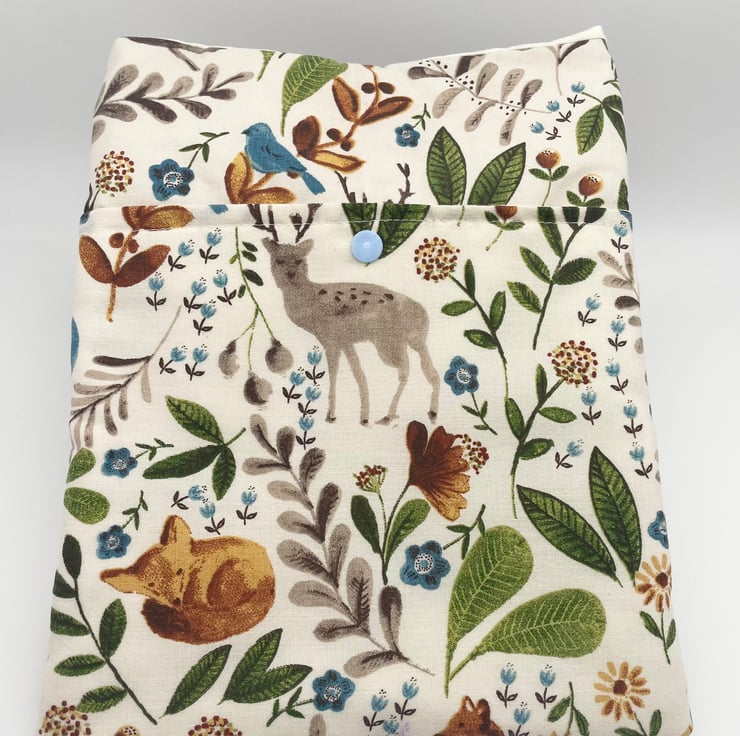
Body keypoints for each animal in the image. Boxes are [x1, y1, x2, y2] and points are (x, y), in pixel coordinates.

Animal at [262, 237, 440, 426]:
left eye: (299, 260)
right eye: (278, 260)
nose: (290, 273)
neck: (311, 301)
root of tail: (422, 314)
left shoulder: (331, 339)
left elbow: (335, 374)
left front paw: (331, 416)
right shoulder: (345, 341)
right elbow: (359, 374)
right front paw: (363, 418)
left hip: (389, 343)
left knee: (407, 370)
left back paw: (391, 416)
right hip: (408, 342)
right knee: (426, 372)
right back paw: (427, 413)